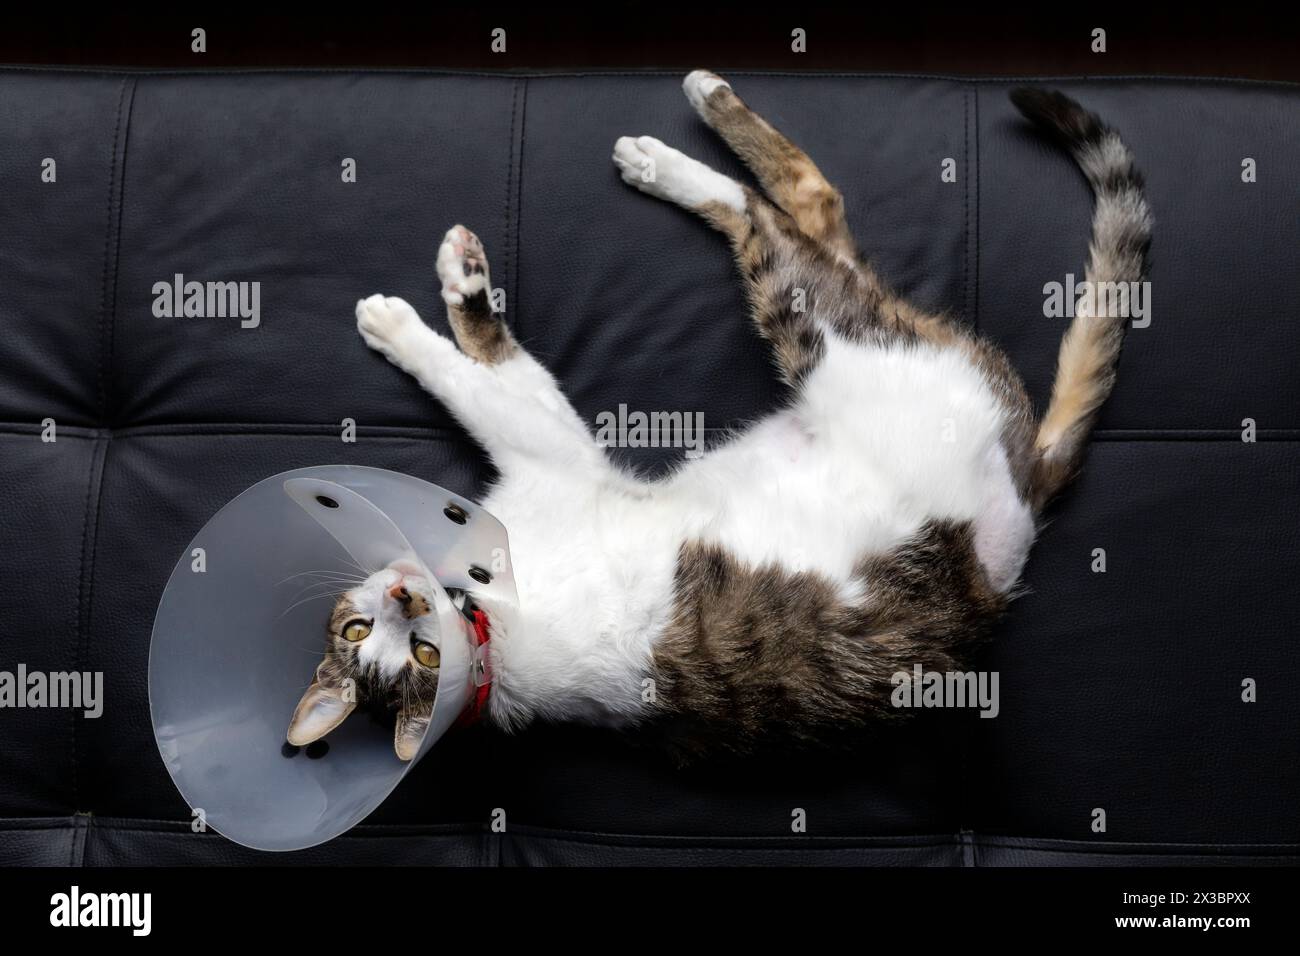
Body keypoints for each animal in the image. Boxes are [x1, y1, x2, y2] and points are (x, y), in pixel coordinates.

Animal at [284, 72, 1149, 764]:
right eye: (389, 646)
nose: (404, 597)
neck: (486, 619)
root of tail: (1029, 487)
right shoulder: (557, 458)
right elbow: (478, 375)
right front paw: (413, 315)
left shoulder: (553, 450)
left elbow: (482, 364)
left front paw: (439, 293)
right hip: (828, 331)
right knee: (792, 222)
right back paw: (684, 133)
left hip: (821, 333)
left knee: (797, 210)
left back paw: (676, 135)